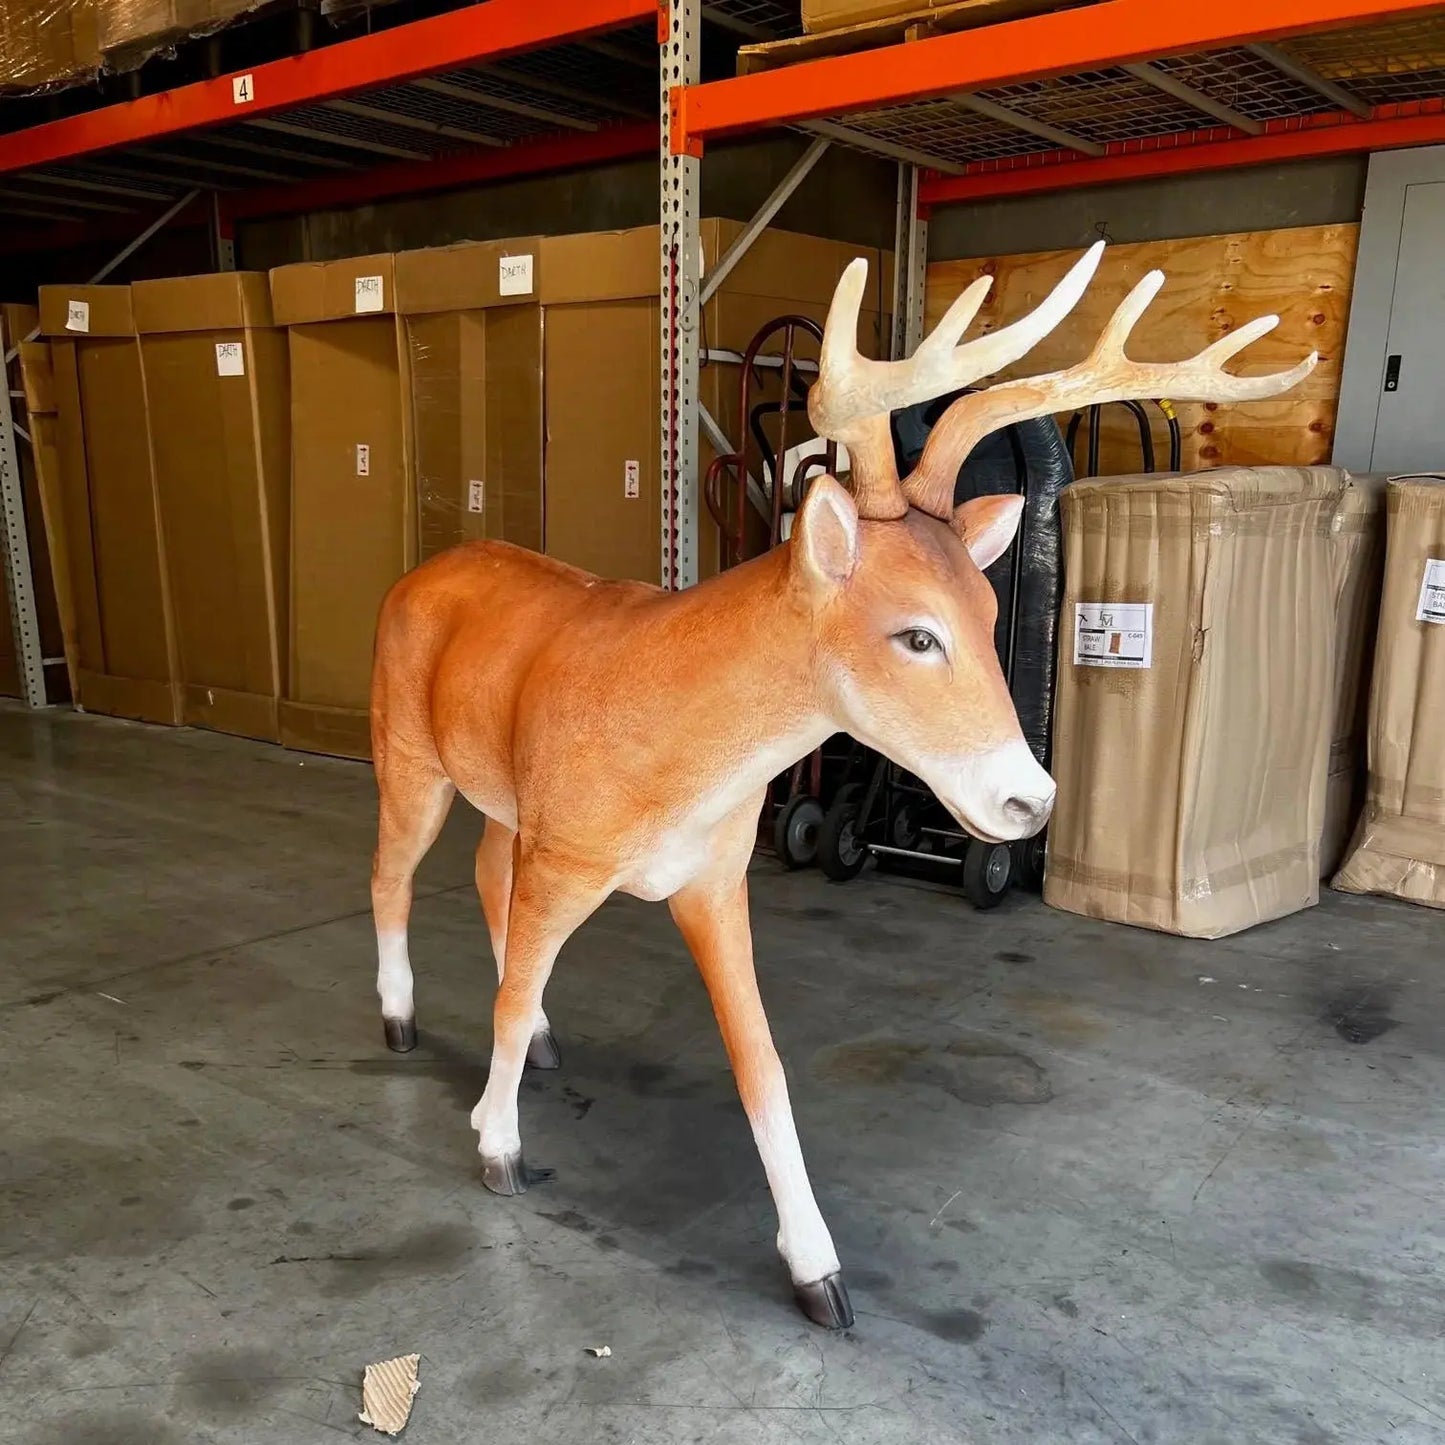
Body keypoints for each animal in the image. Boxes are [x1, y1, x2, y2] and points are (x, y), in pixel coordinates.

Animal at [367, 240, 1316, 1329]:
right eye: (915, 633)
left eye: (990, 613)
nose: (1028, 800)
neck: (678, 742)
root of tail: (415, 575)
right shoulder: (567, 850)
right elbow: (512, 994)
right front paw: (496, 1144)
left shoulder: (713, 875)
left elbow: (761, 1063)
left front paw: (817, 1268)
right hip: (409, 750)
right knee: (392, 875)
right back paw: (398, 1019)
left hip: (503, 795)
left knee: (486, 874)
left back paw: (540, 1040)